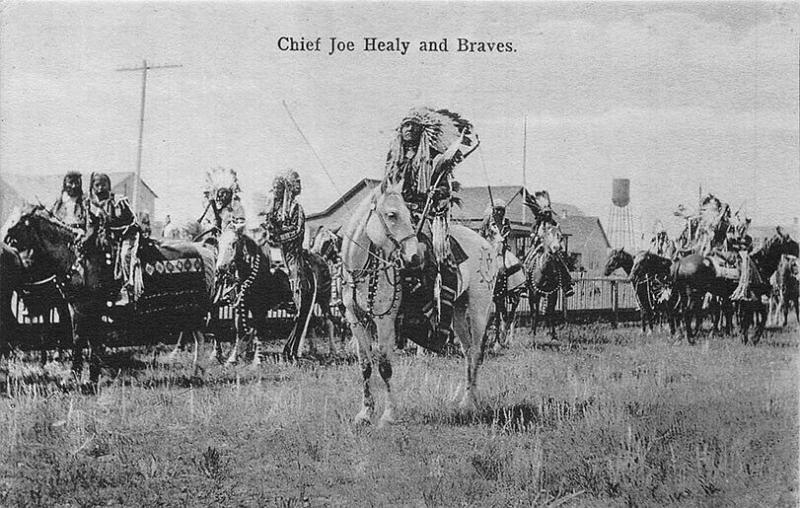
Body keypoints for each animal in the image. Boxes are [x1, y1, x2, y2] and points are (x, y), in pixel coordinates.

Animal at [3, 204, 216, 382]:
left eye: (16, 224)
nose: (4, 244)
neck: (76, 258)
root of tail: (202, 250)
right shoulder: (77, 308)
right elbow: (84, 339)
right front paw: (85, 375)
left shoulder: (87, 308)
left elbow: (86, 339)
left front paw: (82, 375)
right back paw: (197, 371)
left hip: (194, 310)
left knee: (199, 338)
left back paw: (199, 372)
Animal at [216, 228, 294, 364]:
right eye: (219, 244)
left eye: (234, 243)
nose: (221, 268)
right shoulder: (241, 307)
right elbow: (241, 330)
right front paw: (233, 358)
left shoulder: (260, 309)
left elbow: (259, 331)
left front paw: (257, 359)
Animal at [340, 181, 496, 426]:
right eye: (392, 215)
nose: (414, 256)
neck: (361, 271)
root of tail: (486, 245)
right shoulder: (355, 319)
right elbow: (365, 365)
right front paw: (365, 413)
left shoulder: (385, 321)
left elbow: (385, 365)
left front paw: (389, 415)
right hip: (459, 312)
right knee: (468, 351)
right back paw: (466, 400)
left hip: (479, 309)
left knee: (477, 353)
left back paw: (471, 403)